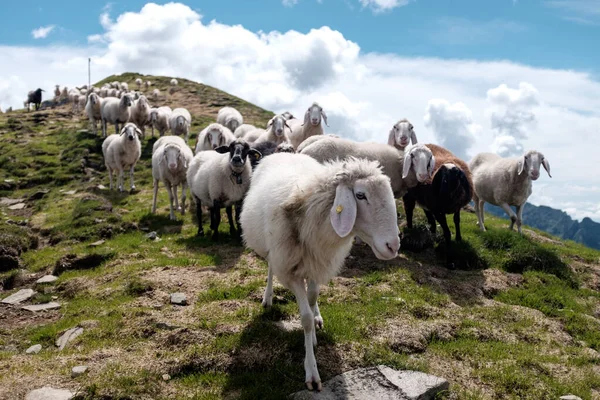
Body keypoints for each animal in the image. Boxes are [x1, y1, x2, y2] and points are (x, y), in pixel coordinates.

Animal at [238, 153, 398, 390]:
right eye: (360, 195)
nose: (393, 246)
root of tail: (286, 152)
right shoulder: (290, 270)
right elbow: (304, 317)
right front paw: (312, 371)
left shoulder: (317, 262)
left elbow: (312, 298)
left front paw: (314, 329)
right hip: (273, 251)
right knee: (270, 269)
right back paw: (268, 298)